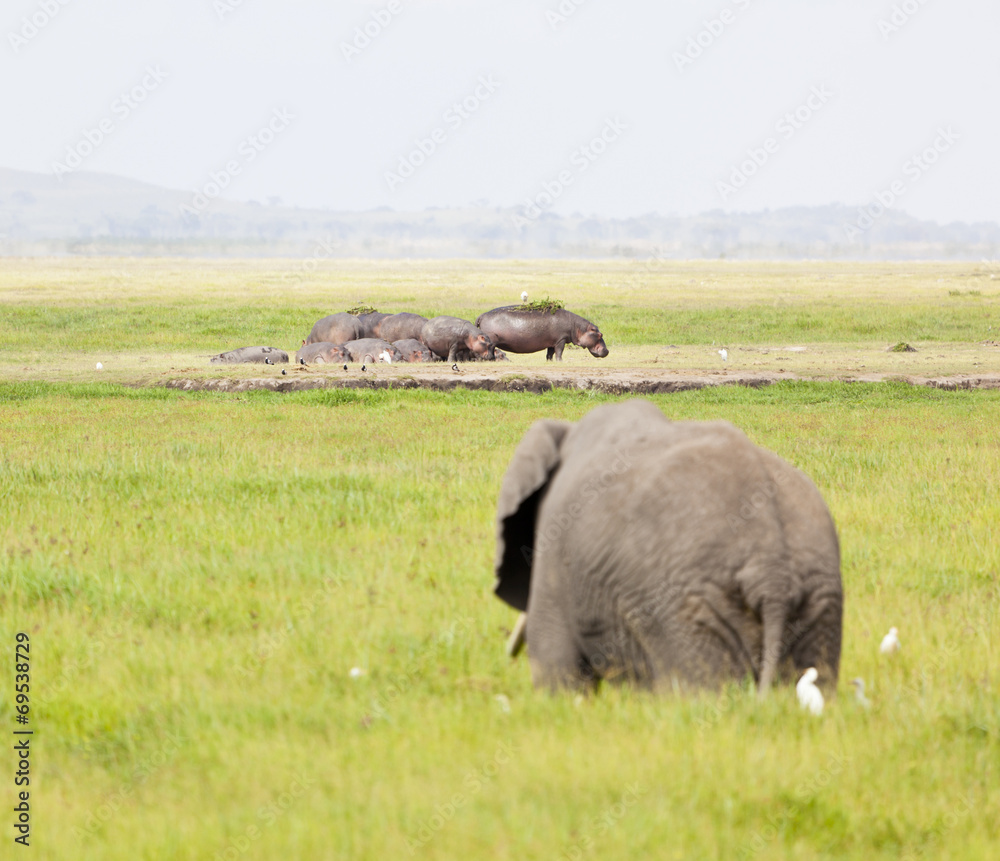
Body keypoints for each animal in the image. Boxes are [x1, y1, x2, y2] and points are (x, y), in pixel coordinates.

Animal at [475, 306, 609, 360]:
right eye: (600, 335)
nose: (607, 351)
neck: (577, 327)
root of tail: (481, 315)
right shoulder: (561, 340)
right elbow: (559, 352)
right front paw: (560, 362)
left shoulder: (552, 342)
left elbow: (550, 354)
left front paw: (550, 362)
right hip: (491, 341)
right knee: (490, 350)